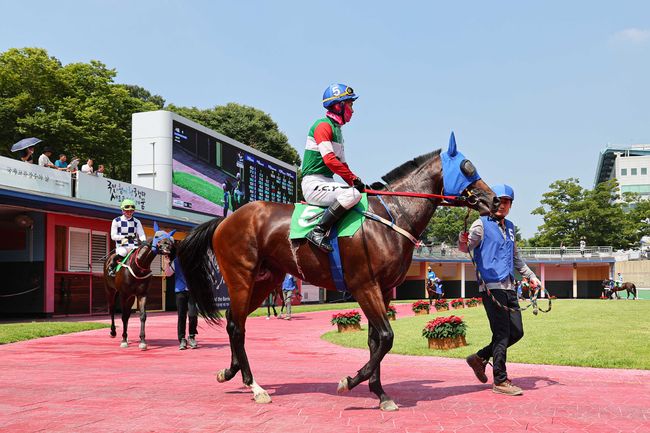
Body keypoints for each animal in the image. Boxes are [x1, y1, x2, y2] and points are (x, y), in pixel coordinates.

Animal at [177, 133, 496, 410]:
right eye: (468, 167)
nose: (494, 200)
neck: (391, 216)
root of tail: (225, 221)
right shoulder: (364, 285)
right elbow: (386, 337)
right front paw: (350, 381)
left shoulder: (383, 290)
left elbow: (375, 340)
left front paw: (380, 394)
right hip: (242, 277)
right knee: (237, 326)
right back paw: (255, 386)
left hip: (265, 281)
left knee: (234, 319)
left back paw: (231, 373)